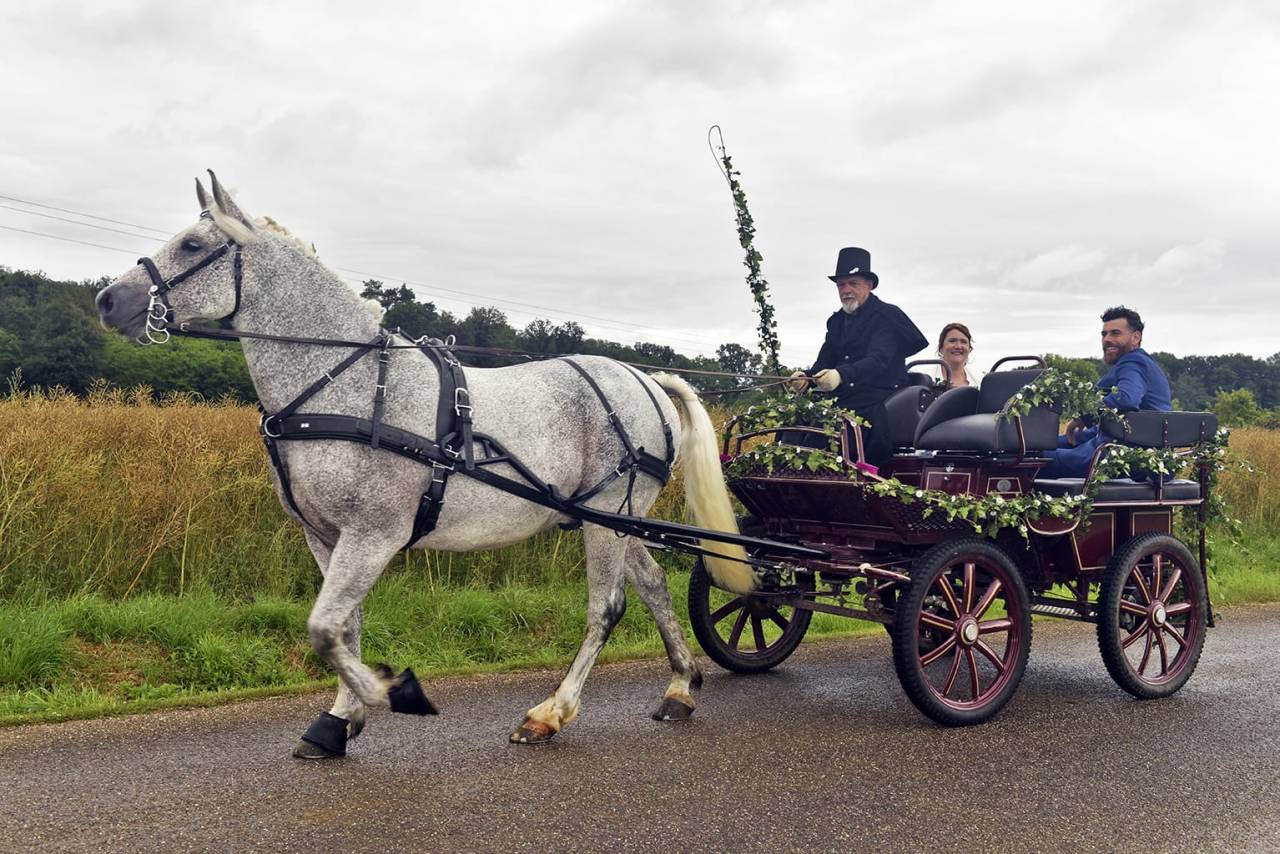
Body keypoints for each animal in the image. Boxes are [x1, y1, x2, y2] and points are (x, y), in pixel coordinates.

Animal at [95, 173, 753, 758]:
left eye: (193, 245)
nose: (106, 300)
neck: (350, 384)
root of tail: (647, 380)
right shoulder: (325, 536)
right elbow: (345, 625)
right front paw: (338, 722)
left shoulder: (374, 533)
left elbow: (324, 628)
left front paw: (392, 693)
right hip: (616, 518)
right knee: (653, 584)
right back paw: (680, 688)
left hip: (605, 517)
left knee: (606, 607)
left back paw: (549, 714)